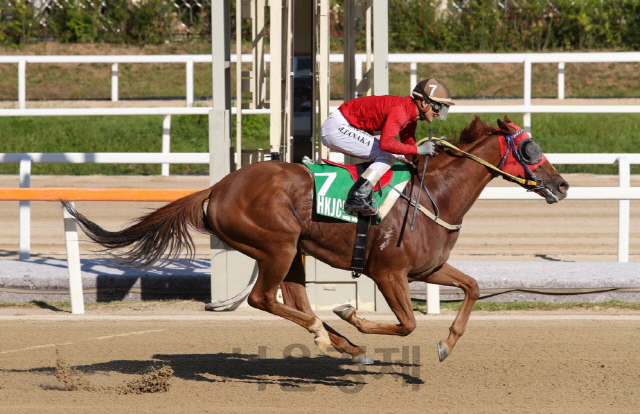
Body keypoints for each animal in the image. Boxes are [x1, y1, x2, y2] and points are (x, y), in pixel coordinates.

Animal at [62, 115, 568, 364]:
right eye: (531, 149)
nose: (562, 185)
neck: (436, 196)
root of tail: (216, 189)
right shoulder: (388, 272)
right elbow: (406, 324)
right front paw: (353, 314)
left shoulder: (429, 267)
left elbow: (473, 287)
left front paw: (447, 344)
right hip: (276, 243)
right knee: (264, 299)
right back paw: (330, 336)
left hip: (292, 251)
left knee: (292, 298)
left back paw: (341, 343)